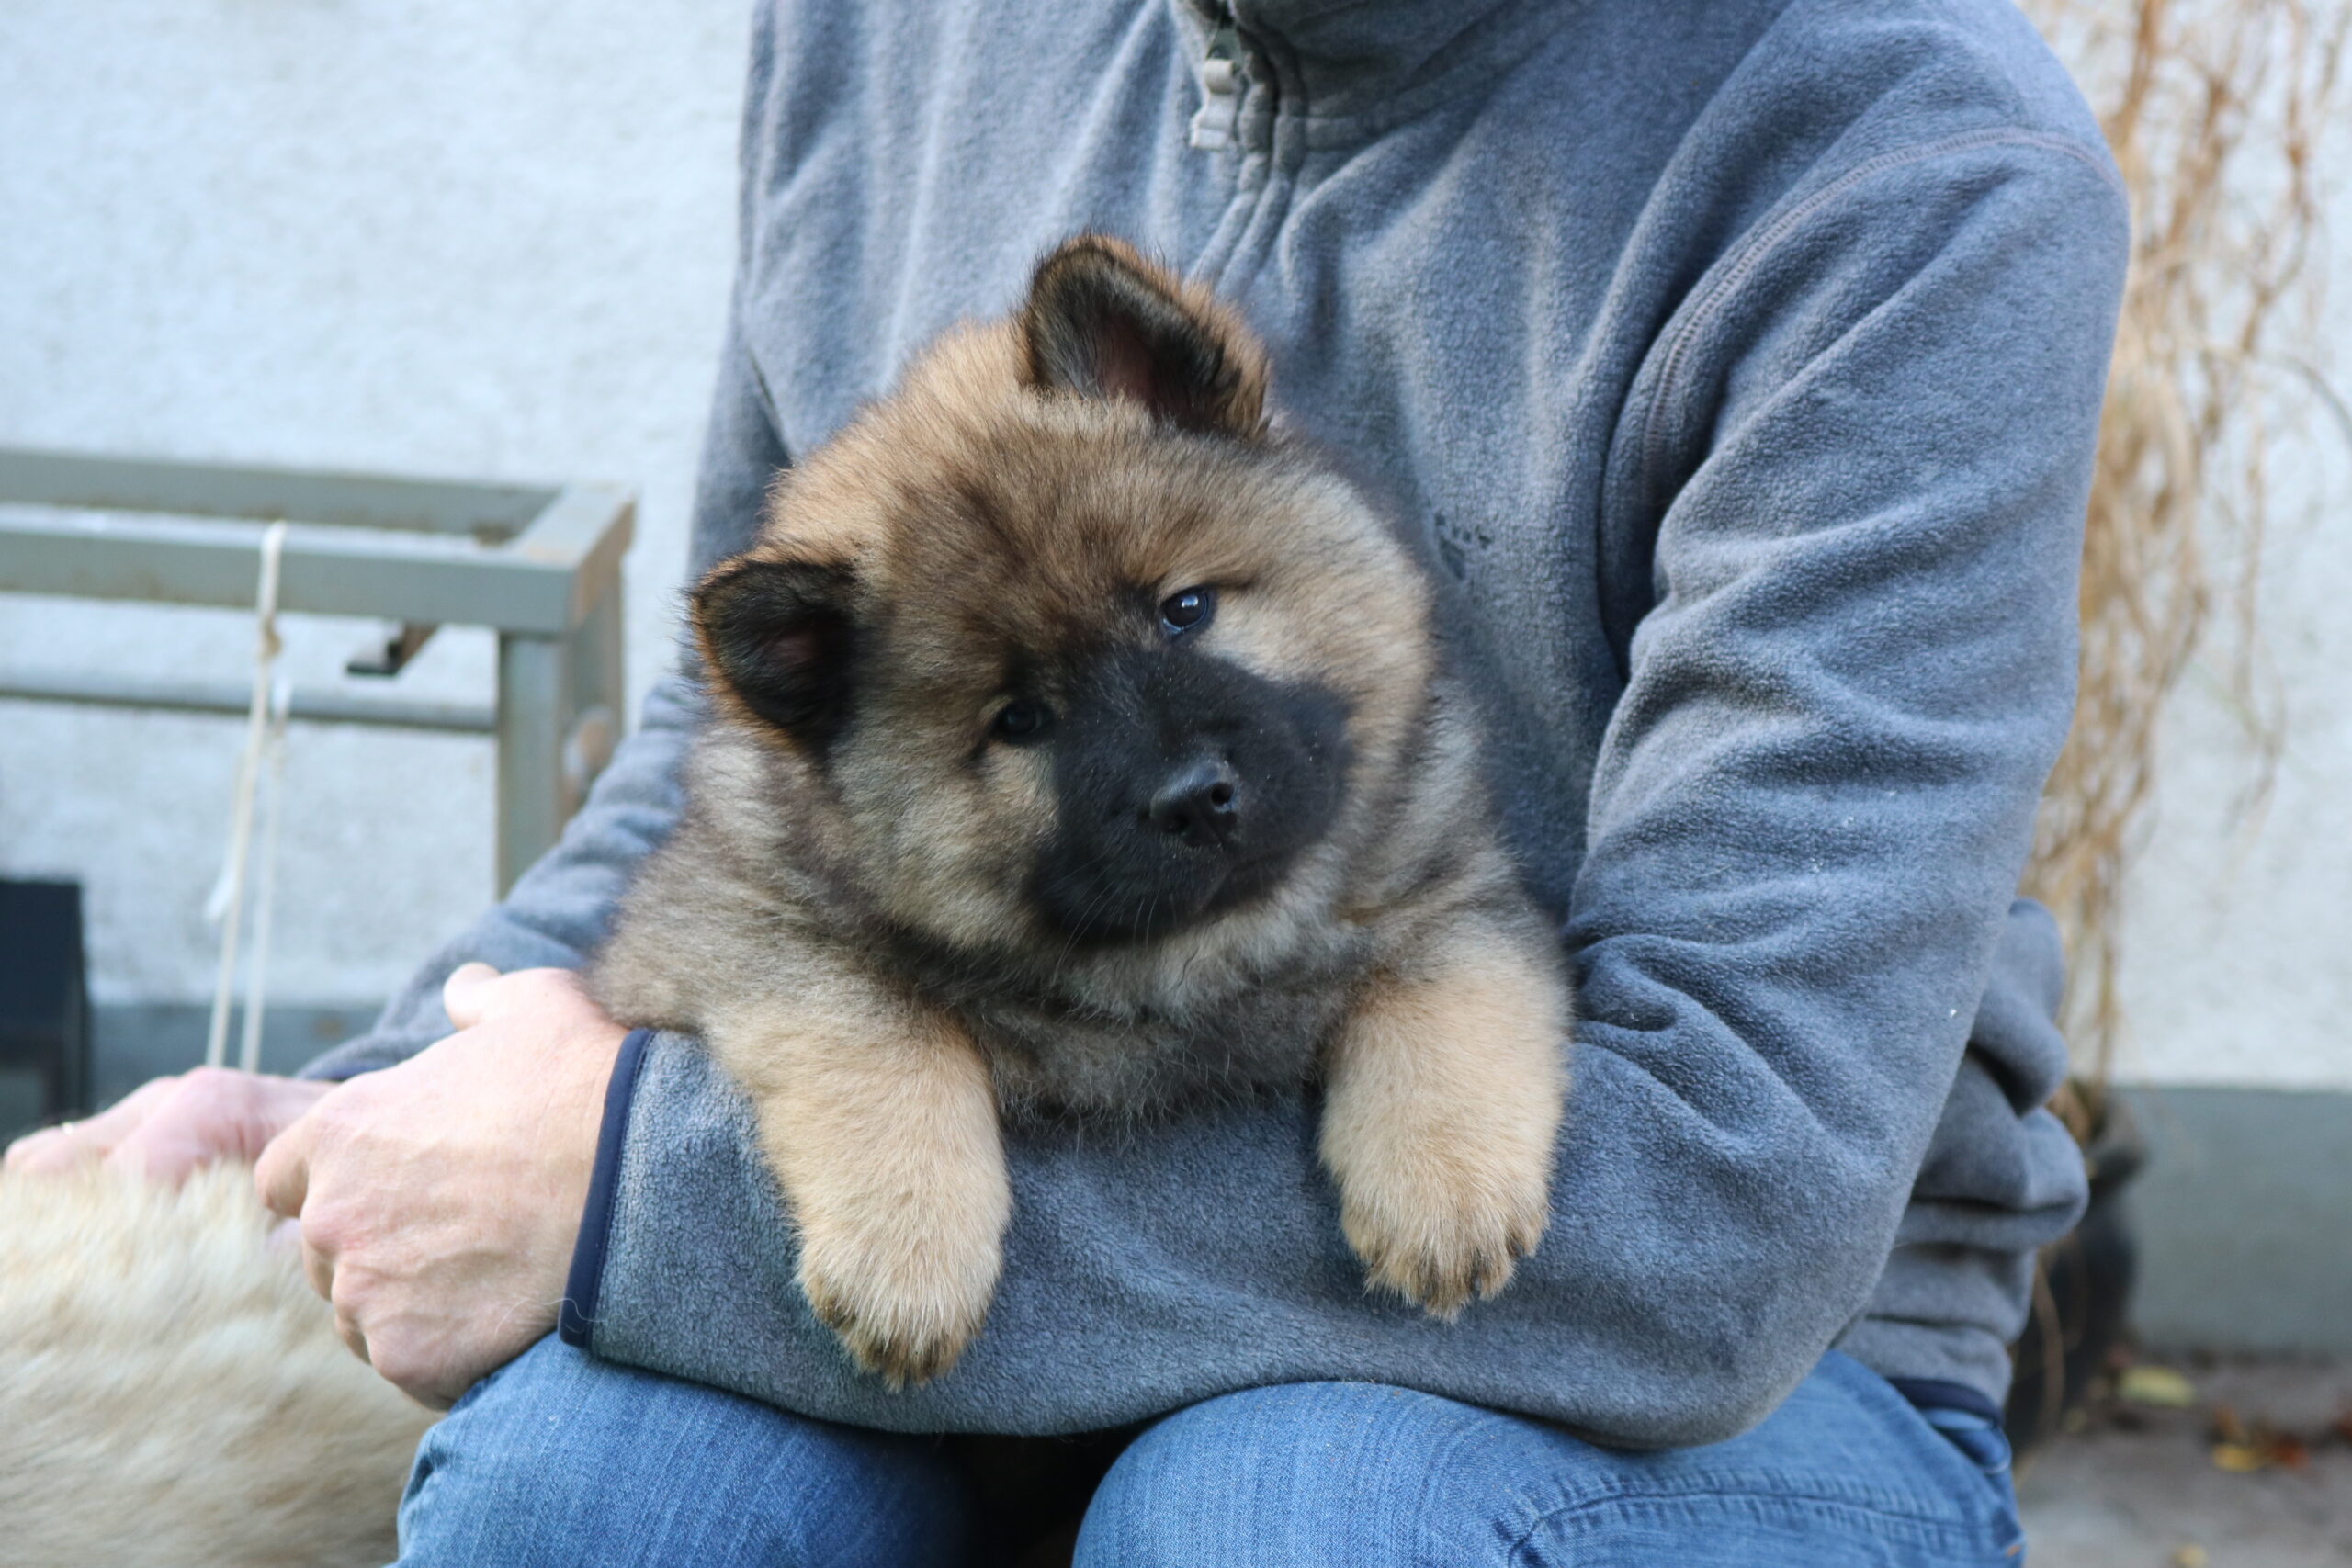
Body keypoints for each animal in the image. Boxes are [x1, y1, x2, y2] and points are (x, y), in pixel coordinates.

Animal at [597, 232, 1571, 1382]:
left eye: (1184, 609)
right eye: (1020, 720)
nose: (1196, 801)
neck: (1191, 962)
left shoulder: (1456, 894)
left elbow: (1441, 992)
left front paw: (1444, 1189)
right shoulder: (730, 931)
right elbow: (880, 1026)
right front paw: (907, 1258)